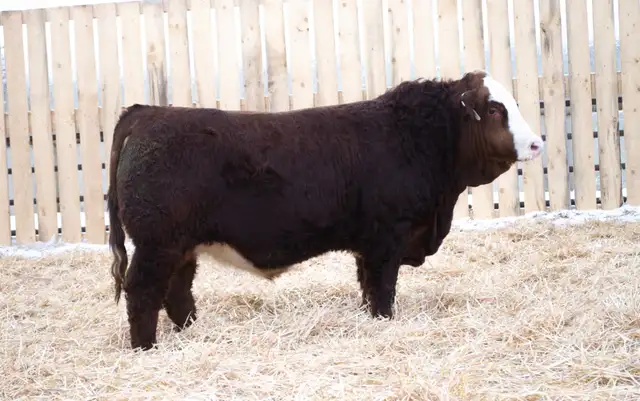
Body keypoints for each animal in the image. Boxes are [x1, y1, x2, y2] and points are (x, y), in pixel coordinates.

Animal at [107, 70, 543, 350]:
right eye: (494, 110)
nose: (537, 143)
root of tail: (149, 112)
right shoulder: (388, 236)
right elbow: (383, 288)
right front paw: (384, 322)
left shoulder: (369, 244)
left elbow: (367, 286)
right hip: (156, 245)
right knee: (141, 292)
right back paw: (146, 348)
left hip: (181, 247)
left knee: (177, 291)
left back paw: (191, 332)